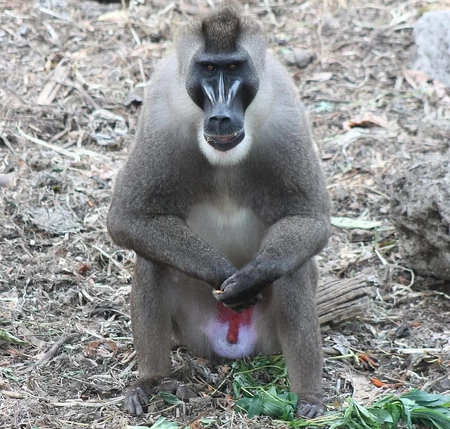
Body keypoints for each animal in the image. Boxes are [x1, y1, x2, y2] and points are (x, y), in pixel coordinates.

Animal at [107, 2, 331, 419]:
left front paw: (252, 276)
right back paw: (151, 381)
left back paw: (308, 396)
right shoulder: (159, 115)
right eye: (209, 68)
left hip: (268, 336)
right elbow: (128, 219)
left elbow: (310, 219)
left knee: (292, 270)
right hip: (192, 328)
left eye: (235, 67)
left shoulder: (287, 113)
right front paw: (222, 273)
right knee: (151, 260)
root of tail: (232, 342)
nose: (222, 115)